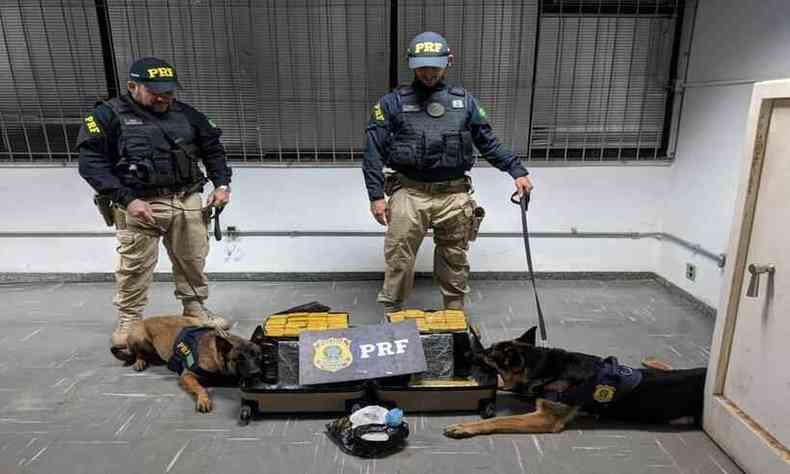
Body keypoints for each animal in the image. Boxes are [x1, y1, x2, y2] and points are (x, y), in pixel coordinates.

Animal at [446, 328, 712, 438]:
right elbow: (510, 387)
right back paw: (652, 361)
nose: (467, 354)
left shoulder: (545, 418)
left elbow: (500, 420)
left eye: (487, 353)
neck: (547, 365)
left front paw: (465, 427)